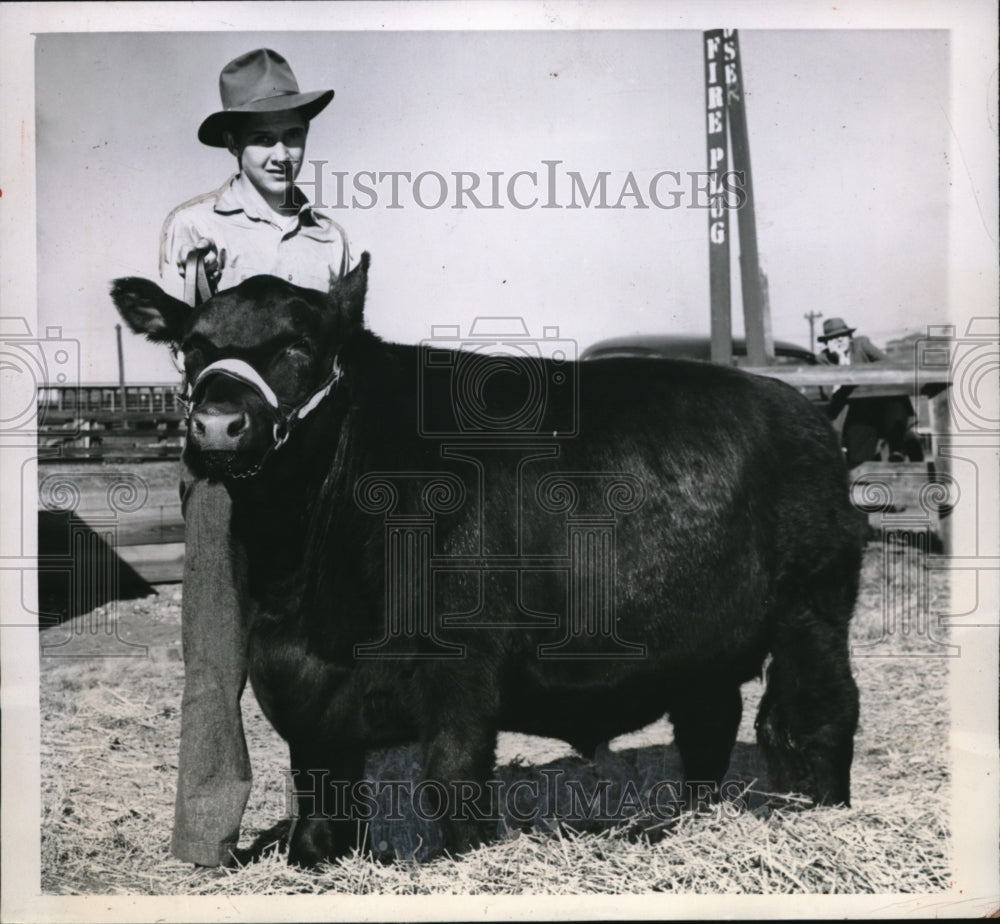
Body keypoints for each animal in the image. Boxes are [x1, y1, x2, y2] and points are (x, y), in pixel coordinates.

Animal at [111, 253, 863, 868]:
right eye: (192, 347)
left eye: (299, 345)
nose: (217, 425)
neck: (306, 588)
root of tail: (800, 407)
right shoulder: (299, 681)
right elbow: (319, 791)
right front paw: (312, 862)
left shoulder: (463, 668)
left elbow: (452, 776)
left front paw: (467, 859)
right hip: (700, 643)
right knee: (711, 727)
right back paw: (689, 823)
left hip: (814, 611)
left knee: (821, 714)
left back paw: (822, 816)